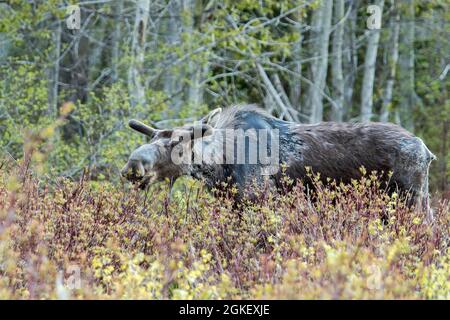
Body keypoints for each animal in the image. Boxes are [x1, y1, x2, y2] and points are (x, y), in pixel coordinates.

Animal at [122, 104, 436, 220]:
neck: (219, 168)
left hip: (409, 200)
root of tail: (426, 150)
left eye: (175, 143)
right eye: (152, 138)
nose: (132, 166)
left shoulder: (261, 200)